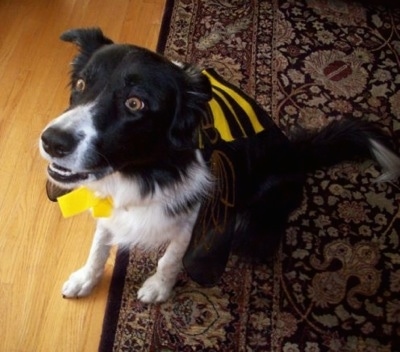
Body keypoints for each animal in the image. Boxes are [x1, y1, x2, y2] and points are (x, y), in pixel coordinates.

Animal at [39, 28, 400, 302]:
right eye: (81, 84)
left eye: (135, 103)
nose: (51, 141)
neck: (146, 171)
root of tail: (296, 155)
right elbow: (100, 242)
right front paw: (86, 279)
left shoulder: (195, 215)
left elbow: (171, 258)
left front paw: (158, 289)